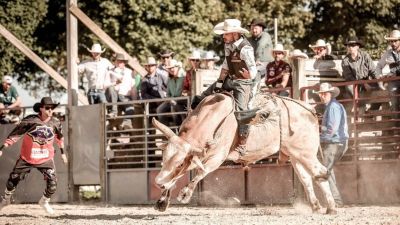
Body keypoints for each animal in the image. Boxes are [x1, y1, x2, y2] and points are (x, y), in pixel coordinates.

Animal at [153, 92, 338, 214]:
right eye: (163, 158)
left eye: (179, 163)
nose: (157, 183)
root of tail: (309, 110)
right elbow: (174, 178)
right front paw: (162, 200)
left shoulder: (217, 157)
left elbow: (200, 172)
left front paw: (185, 194)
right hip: (294, 154)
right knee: (306, 178)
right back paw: (316, 206)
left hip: (306, 152)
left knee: (320, 173)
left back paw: (331, 208)